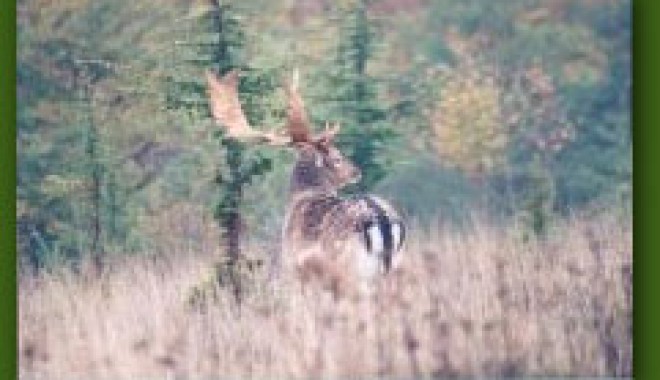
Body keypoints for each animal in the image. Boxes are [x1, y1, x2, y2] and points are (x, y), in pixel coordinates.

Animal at [206, 69, 404, 296]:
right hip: (398, 266)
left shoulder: (296, 270)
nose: (356, 171)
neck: (303, 197)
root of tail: (383, 220)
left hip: (349, 271)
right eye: (337, 157)